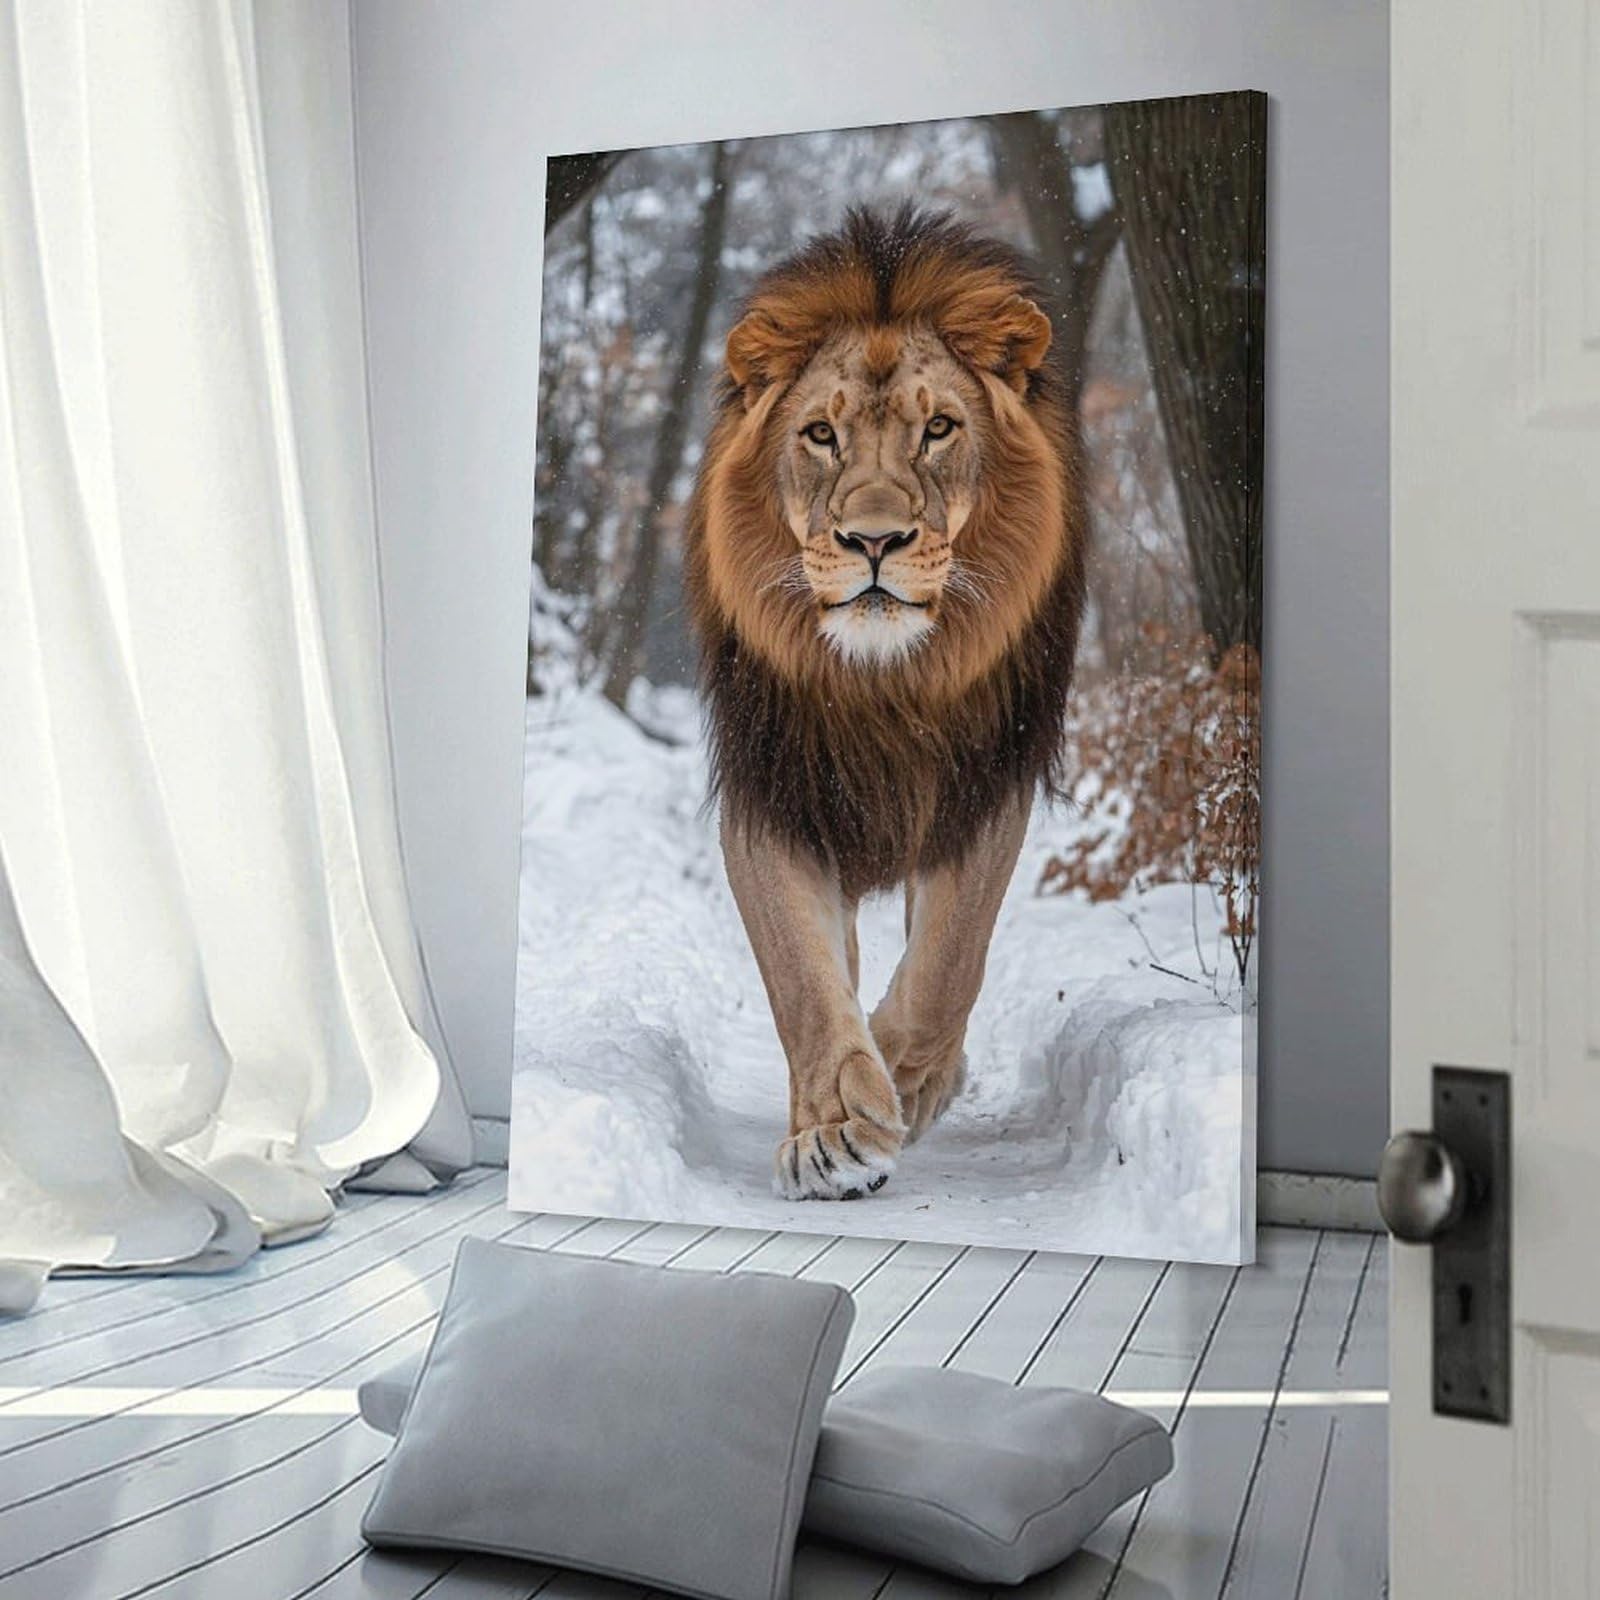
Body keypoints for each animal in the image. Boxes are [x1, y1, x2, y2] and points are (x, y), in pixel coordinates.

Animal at [684, 205, 1086, 1202]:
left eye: (938, 428)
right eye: (820, 436)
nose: (873, 540)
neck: (881, 684)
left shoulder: (987, 782)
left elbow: (949, 960)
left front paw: (907, 1076)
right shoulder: (772, 790)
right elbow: (800, 974)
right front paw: (833, 1131)